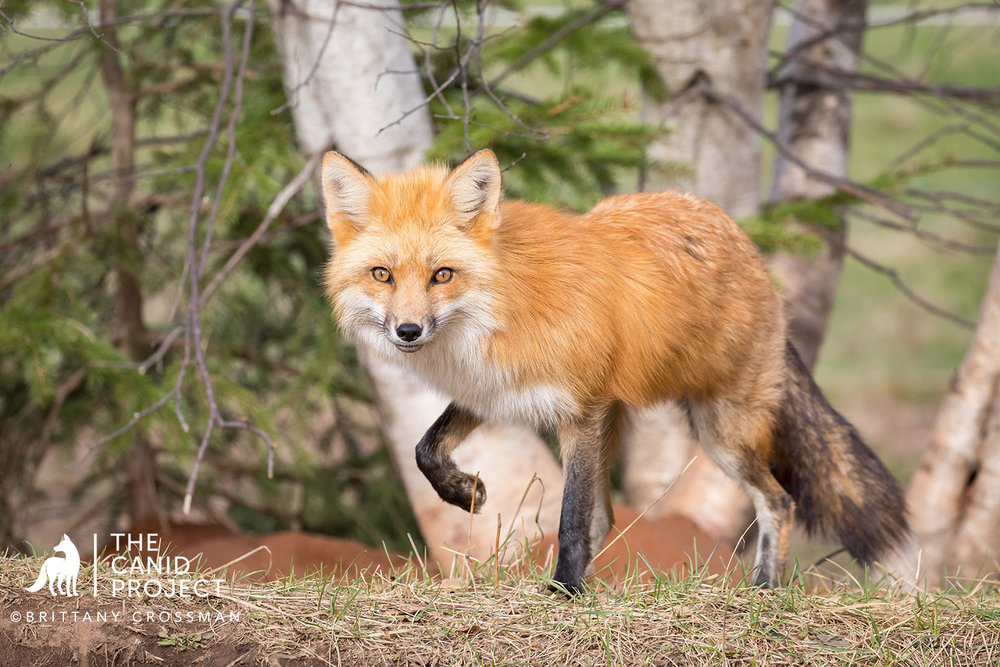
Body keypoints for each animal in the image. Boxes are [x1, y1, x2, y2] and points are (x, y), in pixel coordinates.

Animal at [318, 149, 908, 592]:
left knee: (779, 500)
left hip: (722, 434)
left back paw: (763, 590)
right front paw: (464, 493)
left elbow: (572, 520)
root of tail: (750, 248)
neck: (501, 305)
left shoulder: (581, 408)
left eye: (442, 274)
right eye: (382, 275)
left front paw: (564, 593)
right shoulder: (494, 389)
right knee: (612, 517)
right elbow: (425, 449)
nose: (408, 331)